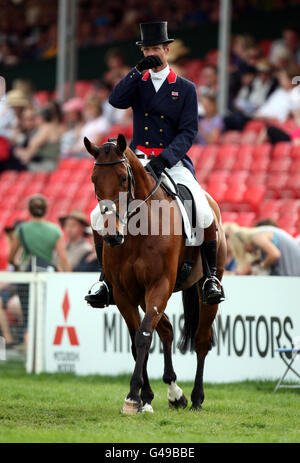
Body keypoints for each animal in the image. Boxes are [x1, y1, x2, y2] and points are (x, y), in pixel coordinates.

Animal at [84, 133, 225, 414]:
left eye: (123, 178)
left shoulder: (160, 285)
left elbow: (143, 337)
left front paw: (132, 397)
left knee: (202, 340)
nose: (112, 235)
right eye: (94, 179)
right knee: (167, 330)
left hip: (204, 289)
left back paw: (196, 398)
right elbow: (136, 341)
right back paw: (175, 393)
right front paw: (143, 397)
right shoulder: (125, 294)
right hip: (143, 295)